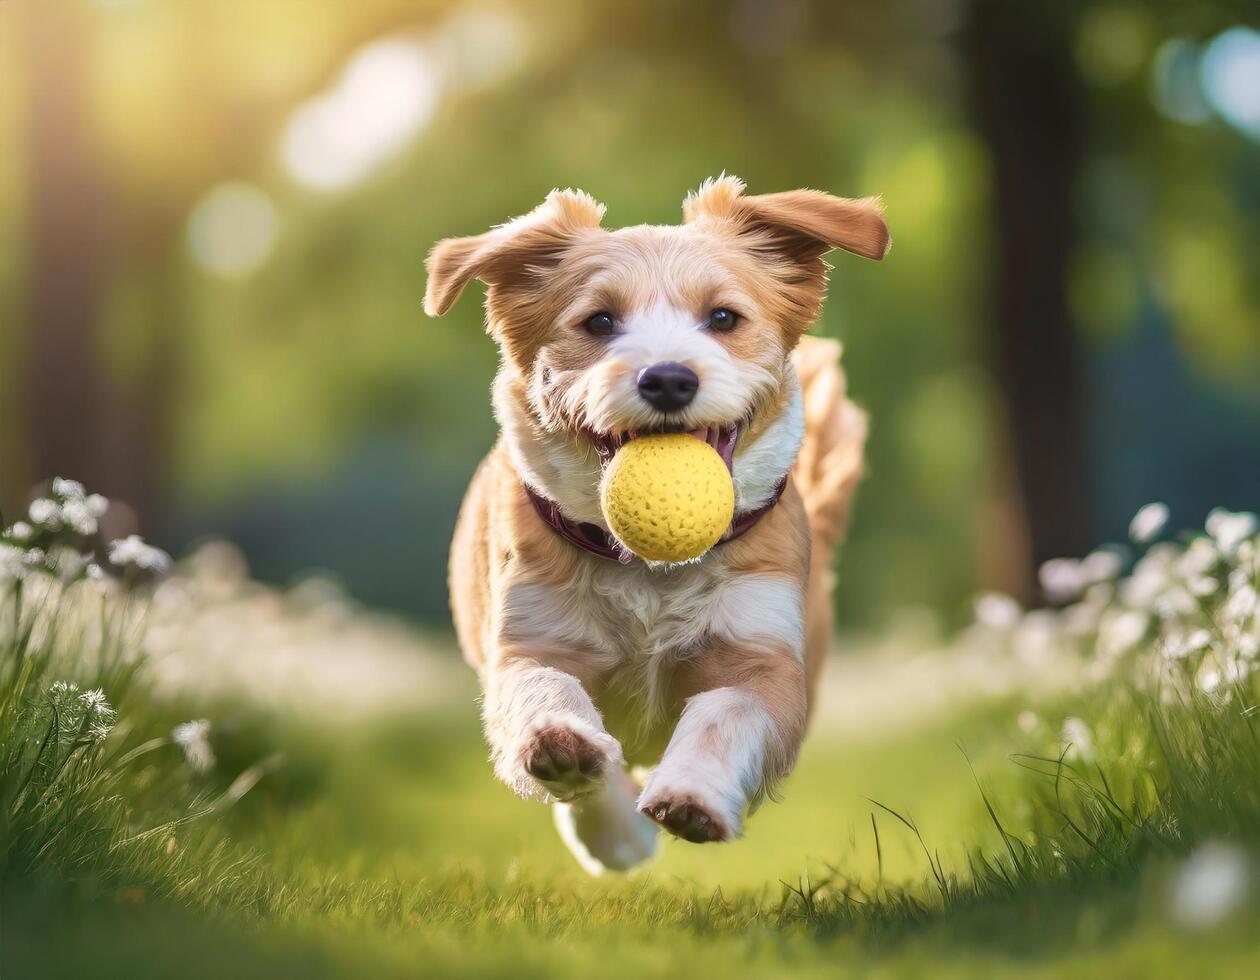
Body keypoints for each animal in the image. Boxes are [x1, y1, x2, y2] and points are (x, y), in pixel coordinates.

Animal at [423, 175, 887, 871]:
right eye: (599, 321)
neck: (650, 569)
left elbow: (726, 712)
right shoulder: (529, 634)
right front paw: (563, 749)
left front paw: (692, 795)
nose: (667, 378)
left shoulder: (765, 655)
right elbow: (541, 688)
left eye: (723, 318)